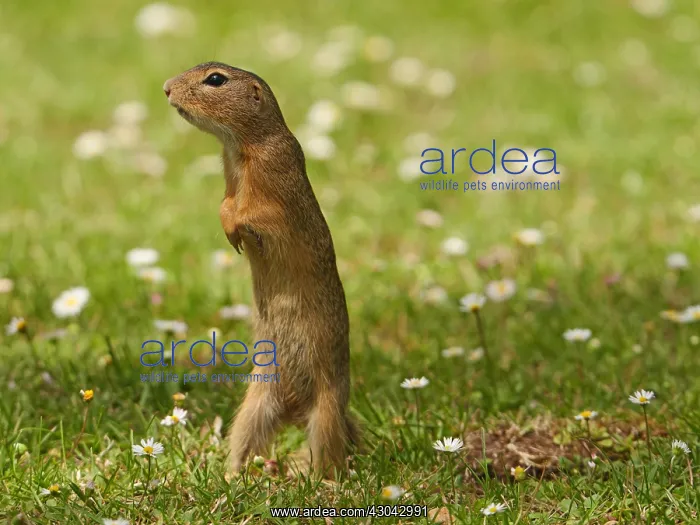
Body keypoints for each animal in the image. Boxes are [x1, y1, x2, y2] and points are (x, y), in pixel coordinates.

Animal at [163, 62, 358, 476]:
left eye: (215, 79)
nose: (166, 88)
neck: (238, 148)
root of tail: (295, 410)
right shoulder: (228, 178)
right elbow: (225, 204)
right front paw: (228, 229)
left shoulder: (274, 177)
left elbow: (259, 213)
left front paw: (238, 229)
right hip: (256, 403)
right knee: (248, 439)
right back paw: (232, 475)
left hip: (326, 411)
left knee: (329, 454)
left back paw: (314, 478)